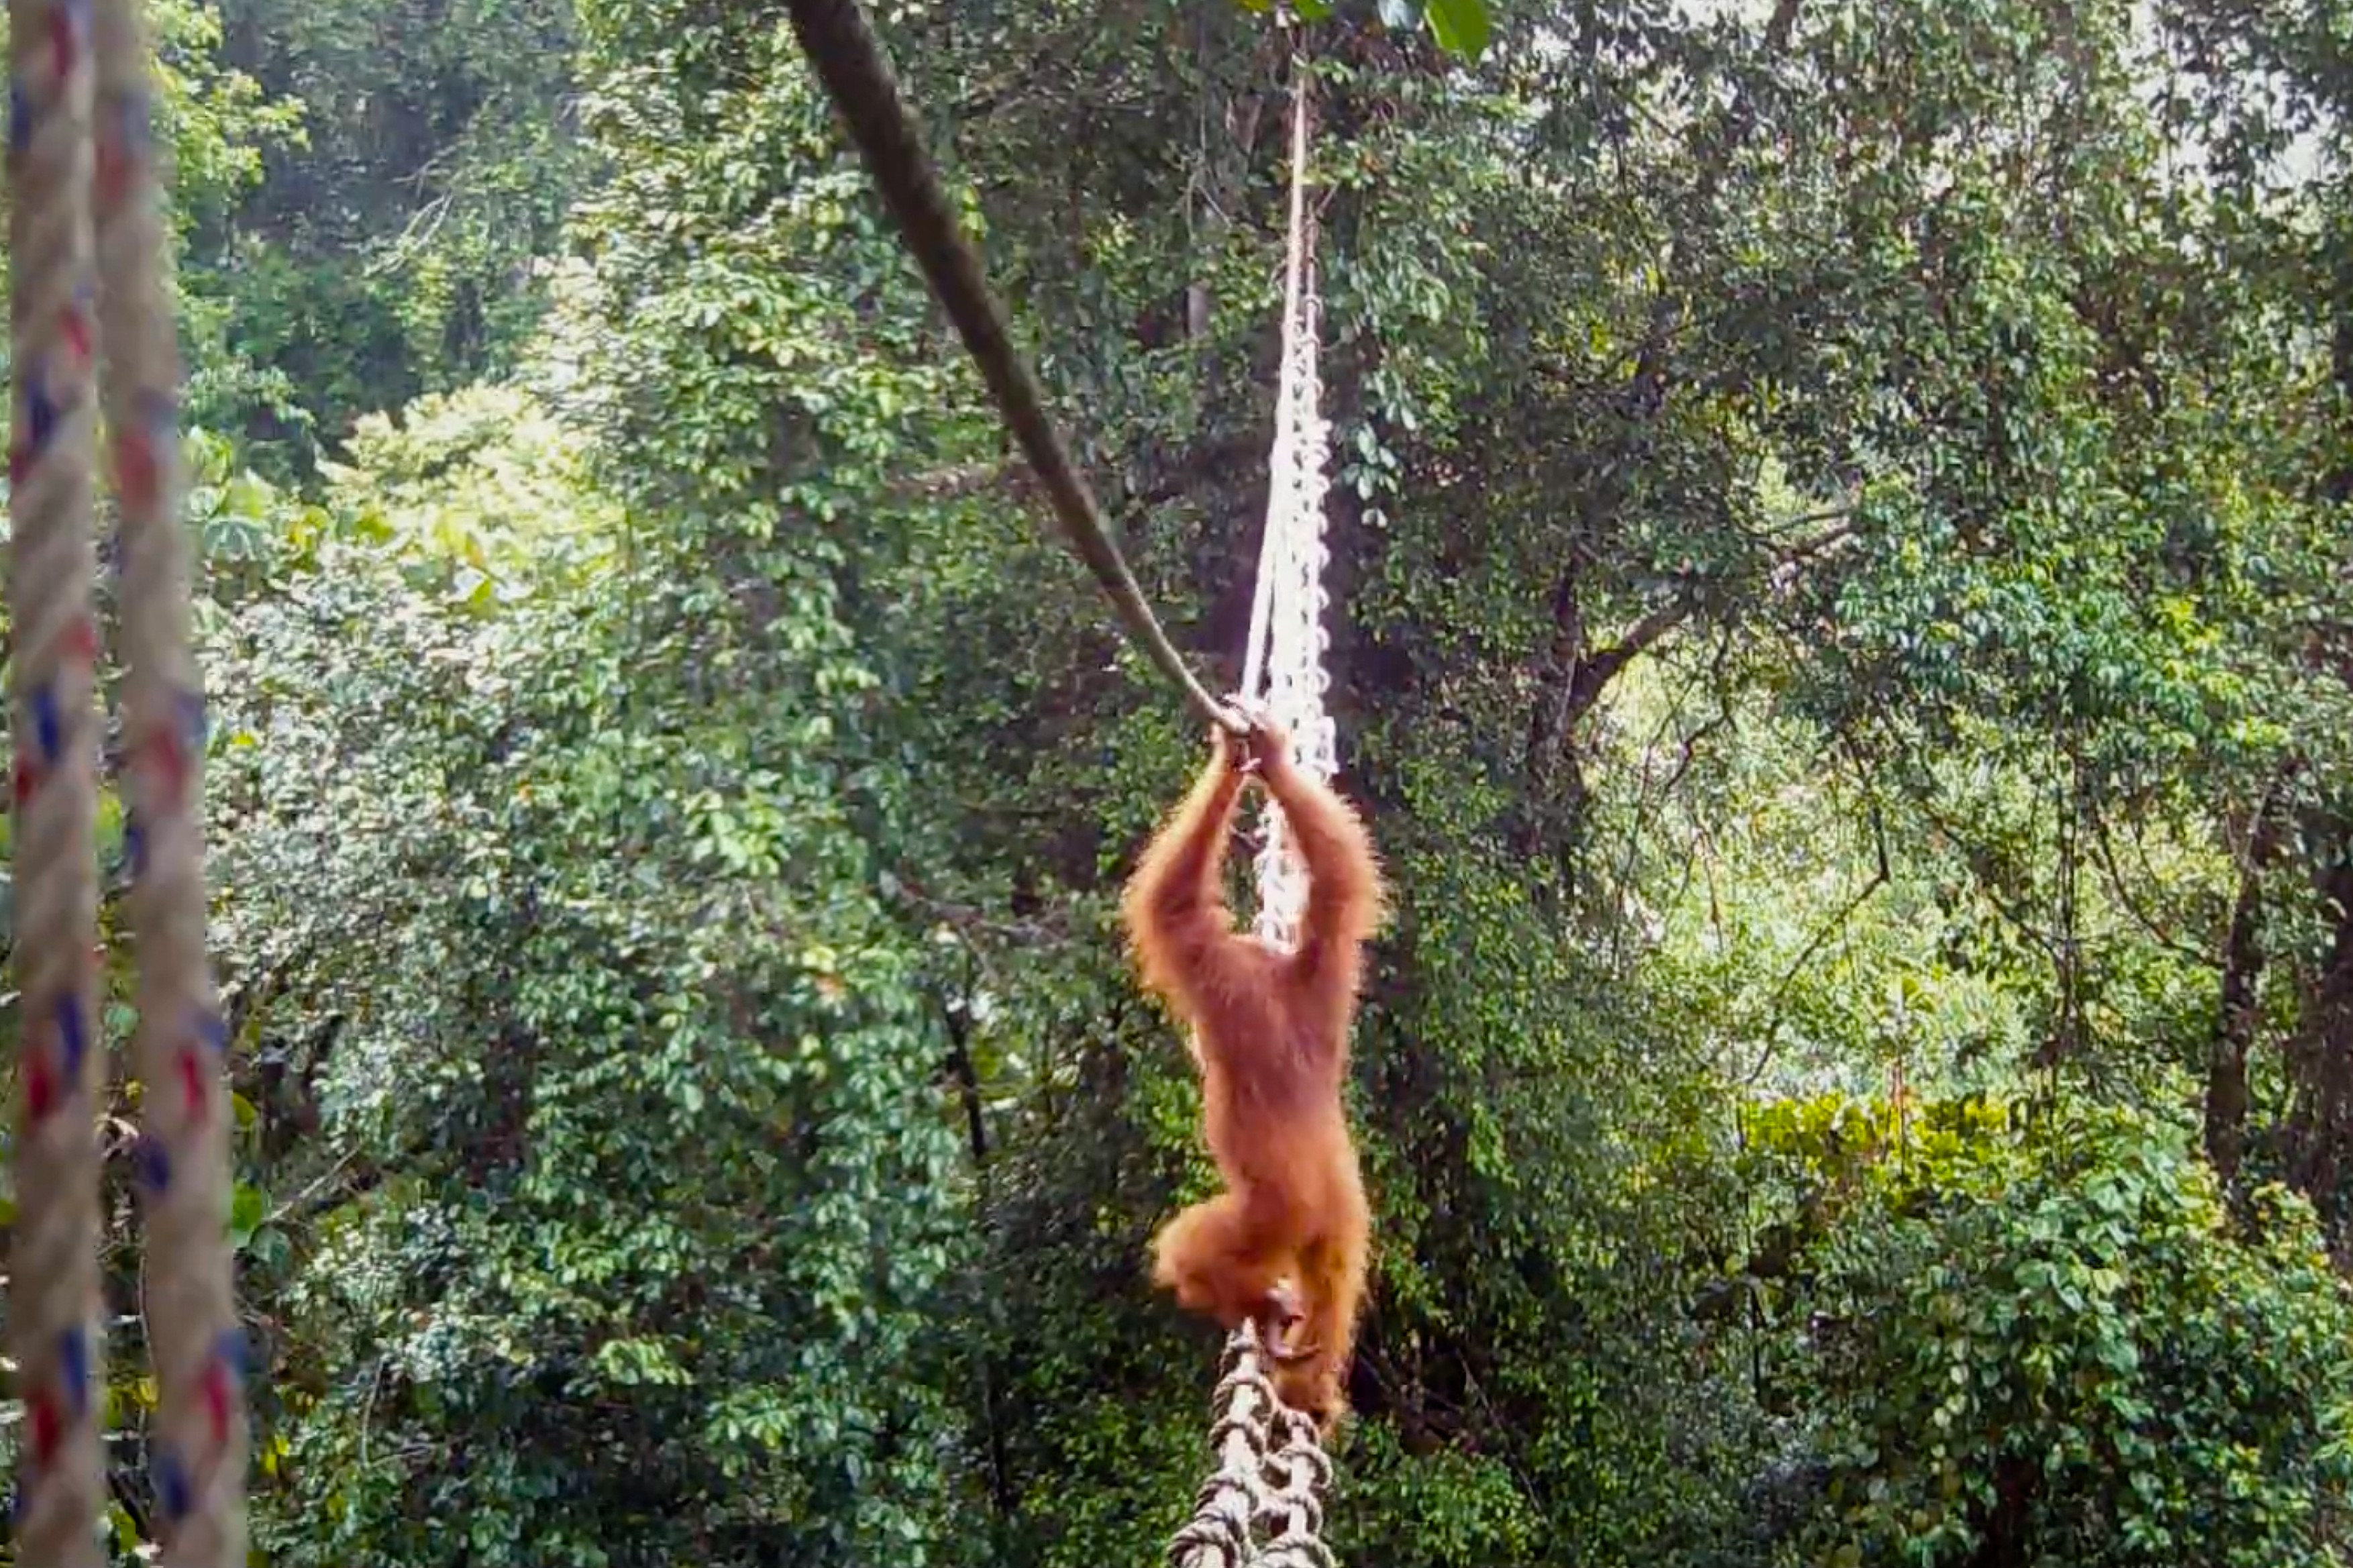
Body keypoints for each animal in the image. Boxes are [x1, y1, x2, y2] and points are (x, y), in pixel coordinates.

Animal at [1121, 711, 1382, 1428]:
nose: (1195, 1045)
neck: (1269, 972)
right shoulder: (1325, 965)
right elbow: (1339, 882)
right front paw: (1274, 761)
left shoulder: (1209, 964)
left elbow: (1173, 903)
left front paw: (1233, 759)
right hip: (1341, 1221)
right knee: (1335, 1288)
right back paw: (1310, 1388)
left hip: (1271, 1215)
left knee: (1186, 1248)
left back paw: (1253, 1305)